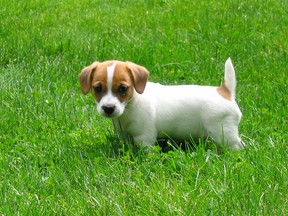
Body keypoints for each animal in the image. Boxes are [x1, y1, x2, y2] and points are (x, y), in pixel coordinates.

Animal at [79, 58, 245, 151]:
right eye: (97, 88)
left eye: (123, 88)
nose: (108, 108)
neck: (130, 106)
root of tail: (225, 91)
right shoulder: (125, 135)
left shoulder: (144, 138)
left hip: (224, 133)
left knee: (237, 146)